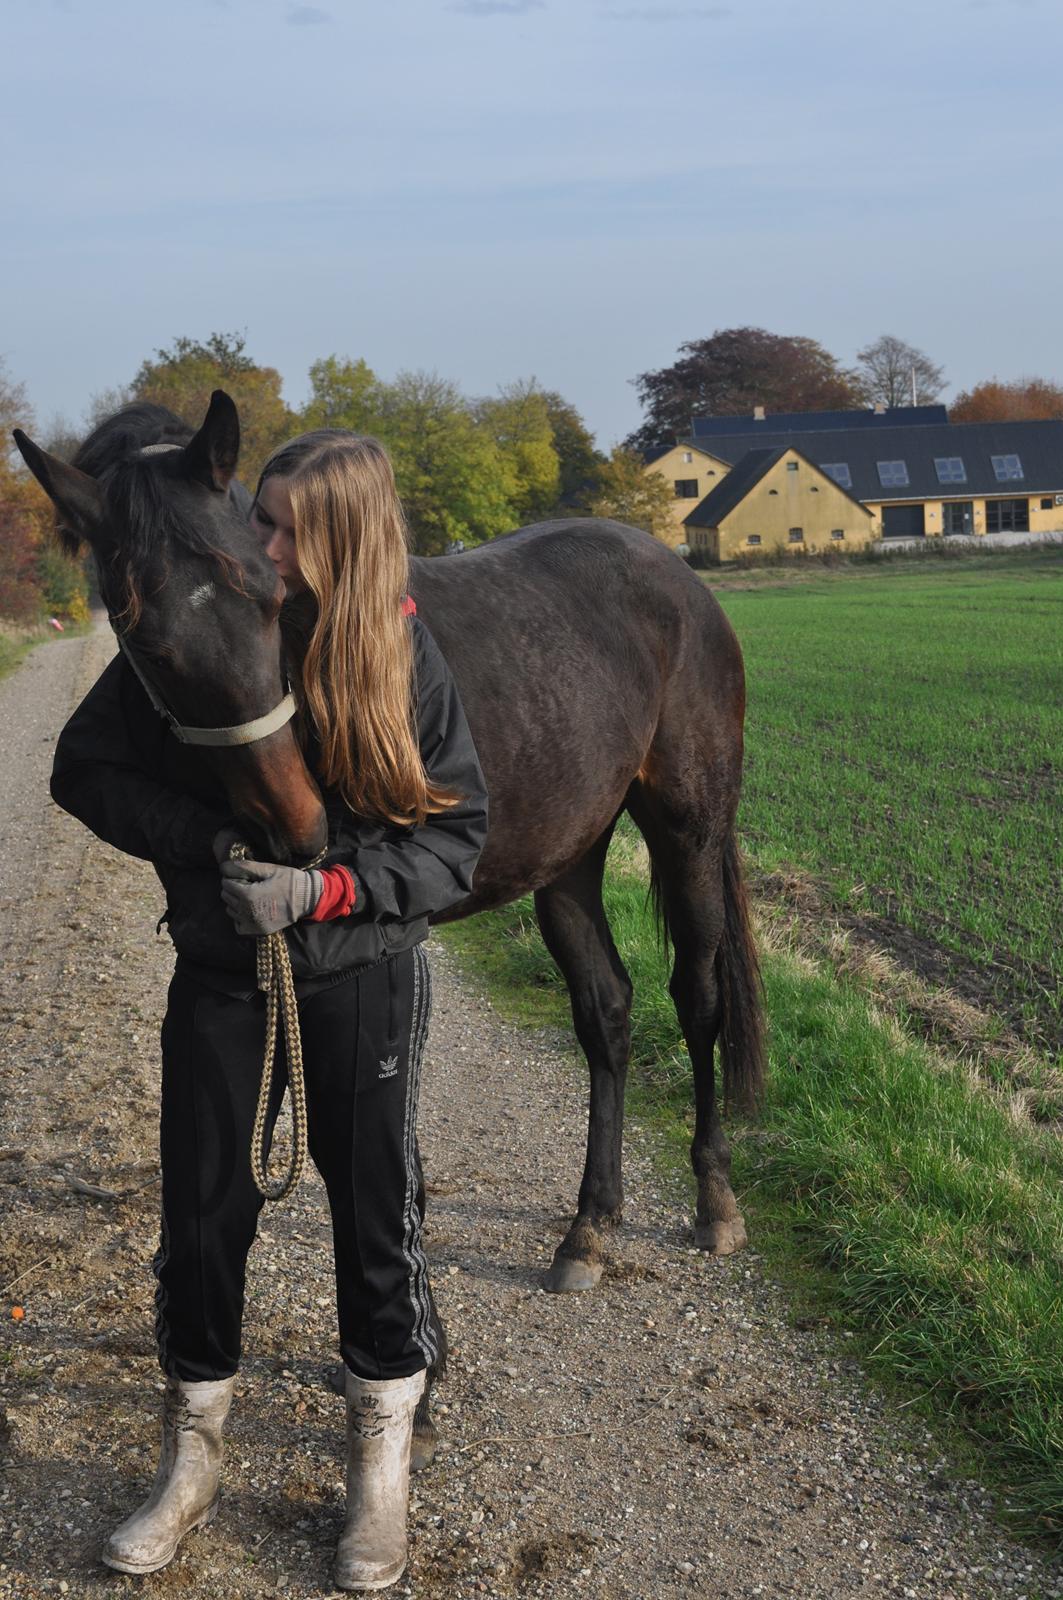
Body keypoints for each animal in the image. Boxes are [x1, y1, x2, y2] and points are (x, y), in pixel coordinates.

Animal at [14, 390, 765, 1299]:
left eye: (269, 600)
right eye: (147, 641)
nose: (296, 826)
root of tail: (677, 575)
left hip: (689, 829)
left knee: (698, 997)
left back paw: (715, 1200)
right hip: (569, 855)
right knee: (606, 1011)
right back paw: (589, 1227)